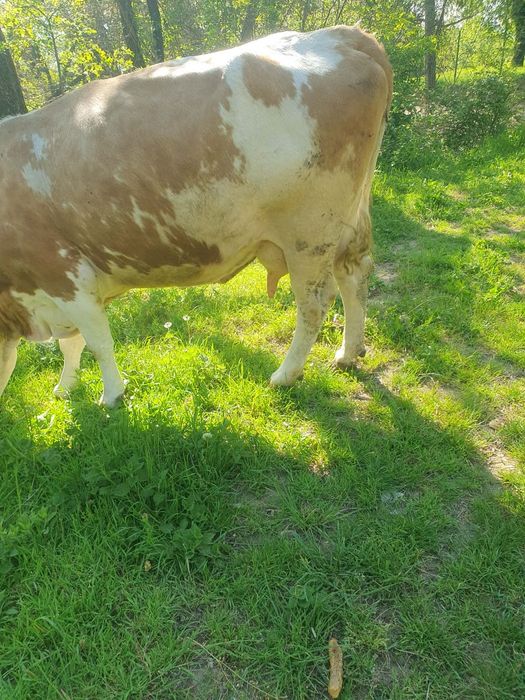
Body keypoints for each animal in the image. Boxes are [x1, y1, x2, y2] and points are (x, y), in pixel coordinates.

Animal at [0, 25, 392, 407]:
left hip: (309, 232)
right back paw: (348, 353)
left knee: (315, 303)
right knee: (354, 275)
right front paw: (65, 388)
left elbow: (95, 342)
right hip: (347, 223)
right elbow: (71, 344)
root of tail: (340, 35)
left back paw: (285, 374)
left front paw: (110, 395)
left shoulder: (65, 274)